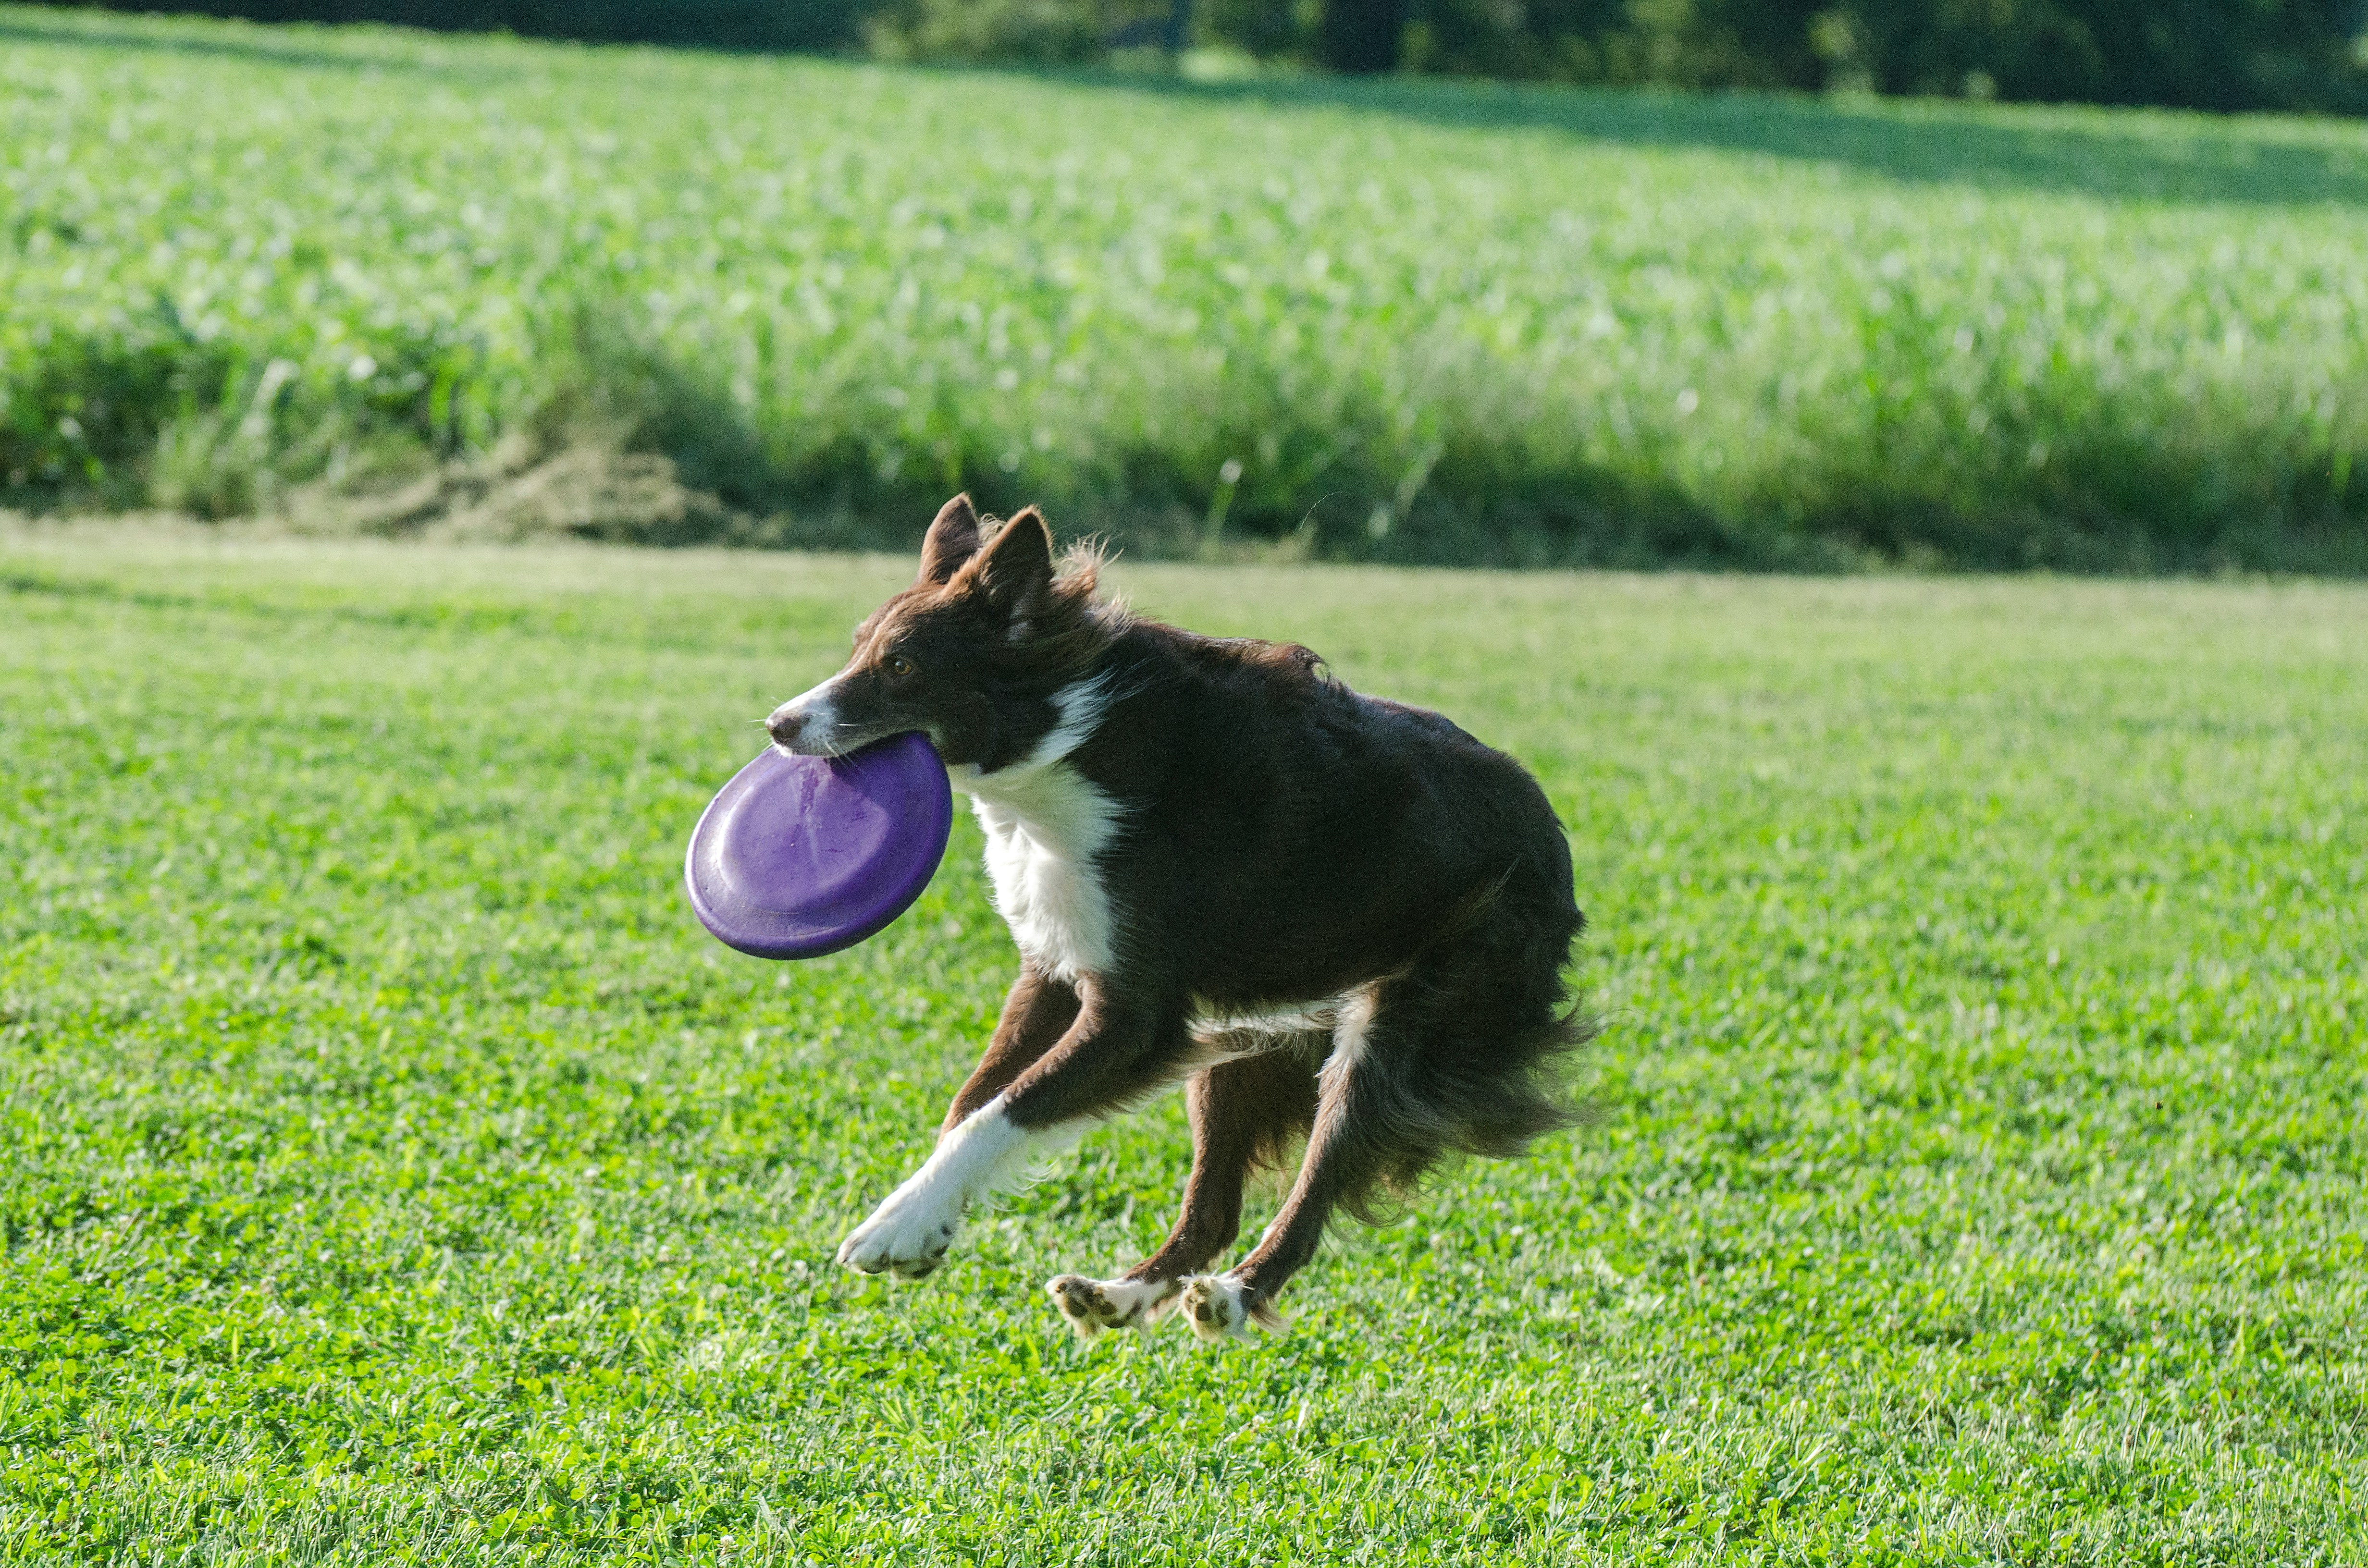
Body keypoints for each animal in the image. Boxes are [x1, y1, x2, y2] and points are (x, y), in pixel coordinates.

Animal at [777, 500, 1591, 1335]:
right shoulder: (1053, 971)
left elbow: (1009, 1107)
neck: (1062, 745)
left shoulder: (1135, 1019)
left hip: (1404, 1013)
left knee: (1315, 1183)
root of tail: (1552, 839)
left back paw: (1234, 1294)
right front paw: (929, 1220)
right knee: (1214, 1210)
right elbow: (973, 1101)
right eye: (859, 648)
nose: (780, 725)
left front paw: (896, 1226)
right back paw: (1119, 1295)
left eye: (903, 665)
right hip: (1250, 1030)